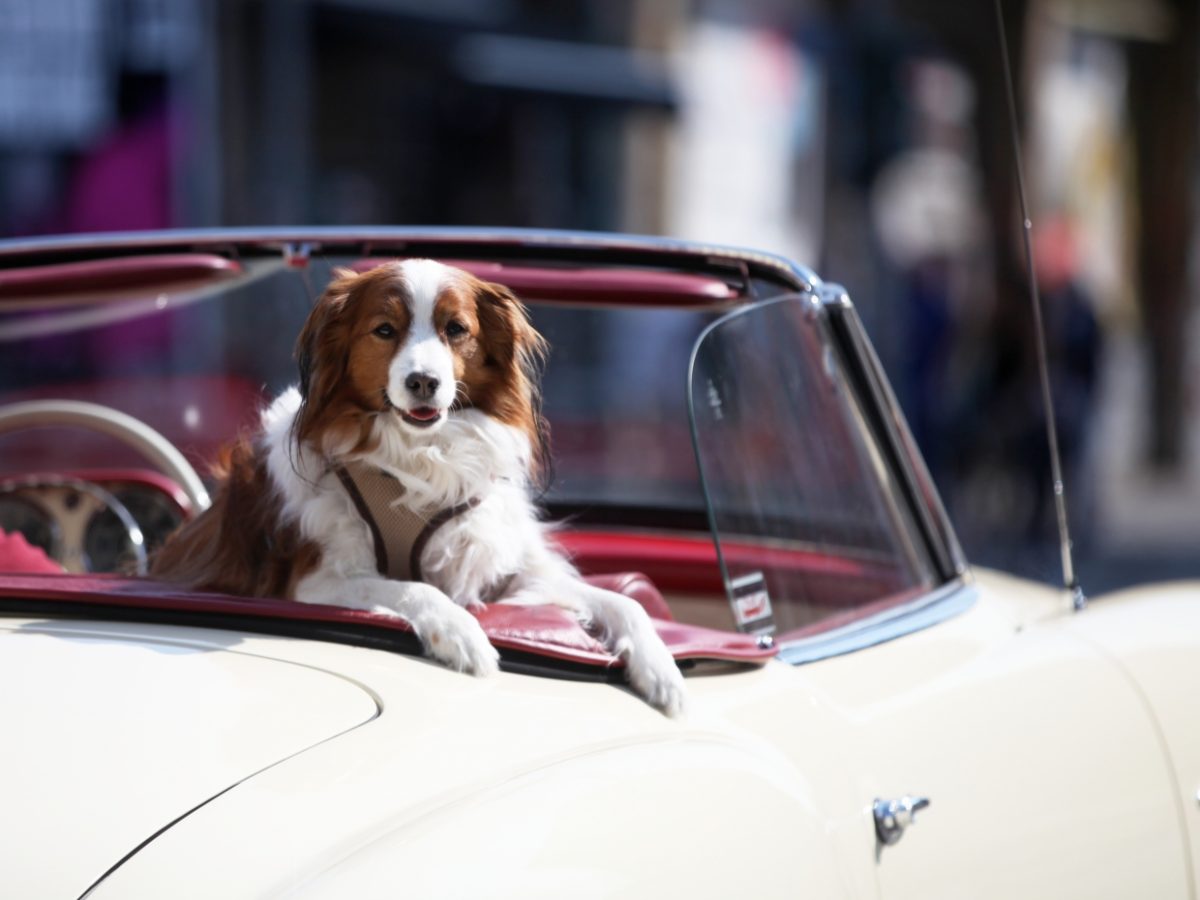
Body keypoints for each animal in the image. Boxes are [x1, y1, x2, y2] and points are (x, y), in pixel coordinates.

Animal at [152, 260, 686, 720]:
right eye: (385, 330)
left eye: (456, 329)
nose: (424, 381)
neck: (420, 454)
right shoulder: (314, 580)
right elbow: (414, 587)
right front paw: (463, 634)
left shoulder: (500, 573)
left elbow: (623, 601)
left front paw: (662, 668)